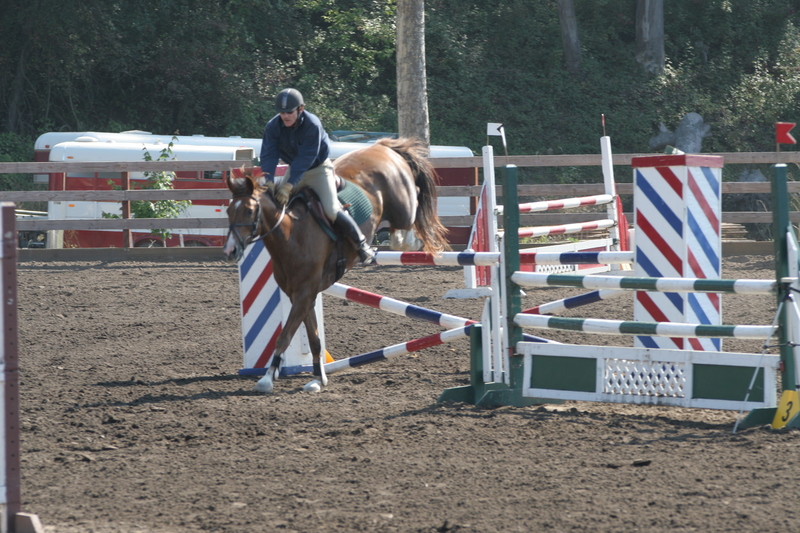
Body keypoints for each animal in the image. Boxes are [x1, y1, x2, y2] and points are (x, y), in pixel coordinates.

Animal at [223, 137, 449, 393]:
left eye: (249, 210)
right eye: (229, 210)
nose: (230, 251)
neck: (292, 235)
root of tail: (383, 146)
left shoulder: (304, 294)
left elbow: (285, 335)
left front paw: (267, 378)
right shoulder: (301, 295)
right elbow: (313, 338)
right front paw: (318, 378)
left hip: (402, 206)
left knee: (411, 209)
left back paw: (402, 240)